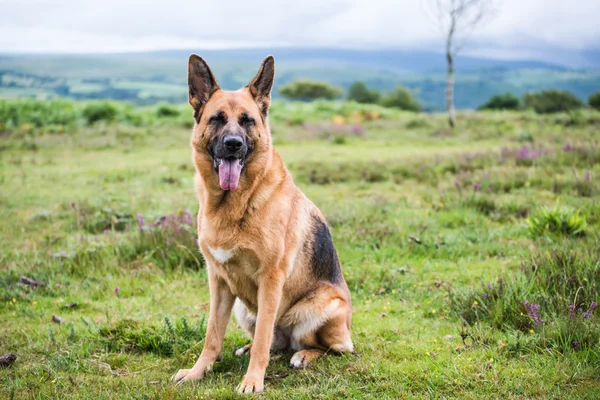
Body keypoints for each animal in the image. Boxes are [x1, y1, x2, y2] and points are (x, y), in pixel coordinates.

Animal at [170, 55, 352, 394]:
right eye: (217, 119)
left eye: (247, 120)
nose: (233, 144)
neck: (235, 204)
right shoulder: (218, 280)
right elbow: (212, 336)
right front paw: (198, 372)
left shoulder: (270, 278)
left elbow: (263, 340)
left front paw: (252, 381)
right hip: (243, 309)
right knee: (274, 343)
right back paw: (251, 347)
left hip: (320, 307)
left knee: (328, 347)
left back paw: (303, 355)